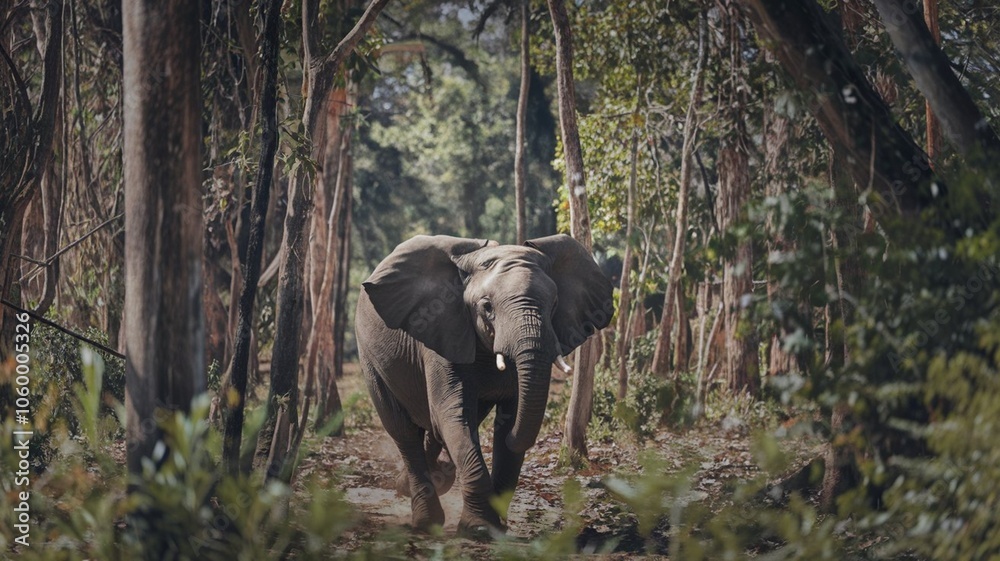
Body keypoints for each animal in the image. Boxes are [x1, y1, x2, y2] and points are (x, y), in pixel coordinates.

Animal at [355, 234, 614, 534]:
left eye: (555, 304)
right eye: (487, 307)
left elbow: (507, 416)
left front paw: (494, 525)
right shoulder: (442, 330)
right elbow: (452, 414)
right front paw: (478, 528)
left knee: (441, 427)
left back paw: (425, 482)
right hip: (369, 356)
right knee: (404, 430)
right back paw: (425, 521)